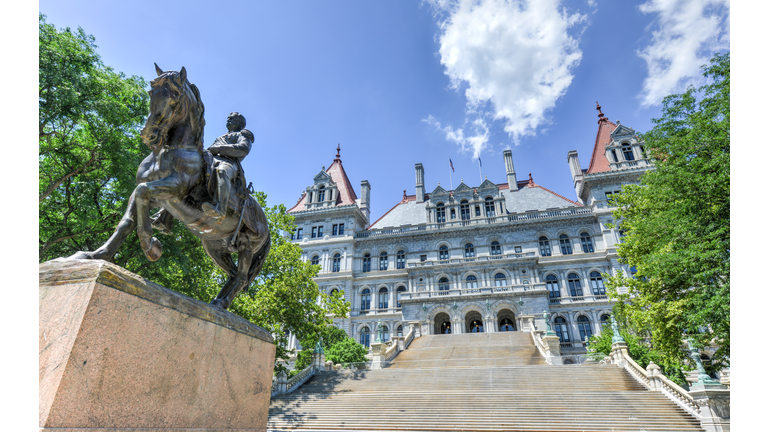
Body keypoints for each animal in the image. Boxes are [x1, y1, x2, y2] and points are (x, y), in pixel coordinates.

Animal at [71, 65, 270, 310]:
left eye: (174, 97)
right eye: (151, 92)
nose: (149, 134)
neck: (171, 150)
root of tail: (267, 225)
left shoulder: (173, 190)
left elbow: (143, 193)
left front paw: (151, 246)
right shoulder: (149, 193)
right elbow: (126, 221)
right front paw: (95, 255)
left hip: (246, 245)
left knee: (241, 277)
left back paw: (221, 304)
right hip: (214, 246)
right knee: (232, 275)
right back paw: (217, 303)